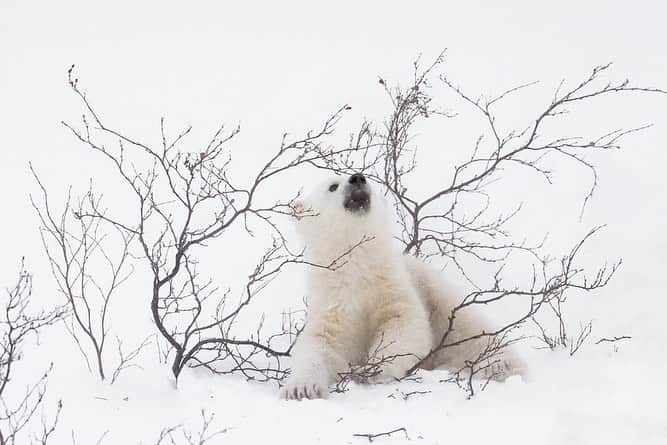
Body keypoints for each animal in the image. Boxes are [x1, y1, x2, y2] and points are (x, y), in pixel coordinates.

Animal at [282, 173, 520, 398]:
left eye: (367, 179)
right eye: (332, 186)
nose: (357, 178)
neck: (357, 265)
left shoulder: (392, 284)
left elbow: (403, 324)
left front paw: (370, 370)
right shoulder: (333, 302)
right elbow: (320, 343)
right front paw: (301, 388)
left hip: (432, 288)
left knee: (467, 326)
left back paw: (499, 364)